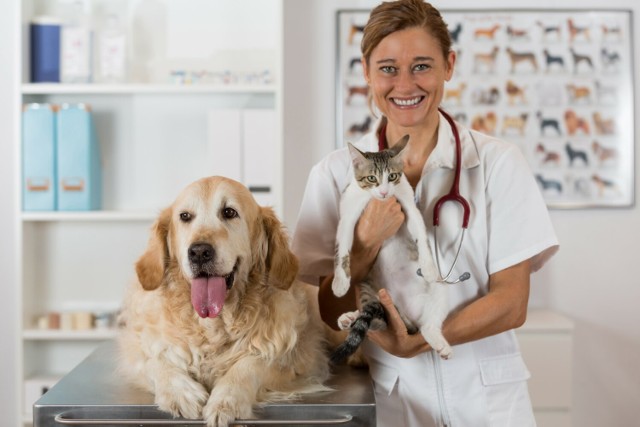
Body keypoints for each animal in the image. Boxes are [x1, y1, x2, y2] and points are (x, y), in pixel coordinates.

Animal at [117, 176, 332, 427]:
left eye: (229, 212)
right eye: (185, 216)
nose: (199, 252)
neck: (213, 325)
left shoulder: (296, 360)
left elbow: (250, 365)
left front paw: (226, 401)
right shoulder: (137, 349)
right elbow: (154, 360)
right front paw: (181, 392)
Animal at [330, 137, 450, 364]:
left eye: (392, 176)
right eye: (371, 178)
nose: (385, 192)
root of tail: (405, 312)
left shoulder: (407, 204)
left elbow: (420, 233)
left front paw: (428, 266)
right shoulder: (349, 211)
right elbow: (343, 247)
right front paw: (340, 282)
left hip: (439, 290)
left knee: (426, 325)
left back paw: (439, 343)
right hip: (367, 286)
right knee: (377, 322)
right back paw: (350, 318)